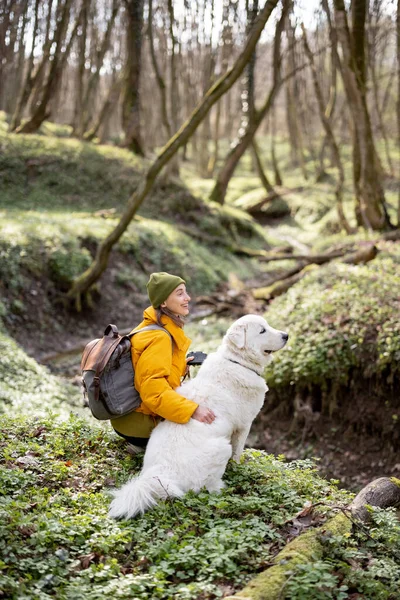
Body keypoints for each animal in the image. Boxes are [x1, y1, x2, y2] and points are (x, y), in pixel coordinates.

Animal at [108, 314, 288, 520]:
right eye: (262, 331)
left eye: (267, 325)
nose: (286, 335)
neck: (238, 362)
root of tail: (163, 473)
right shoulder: (244, 426)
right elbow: (238, 452)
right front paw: (239, 466)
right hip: (221, 448)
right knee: (208, 487)